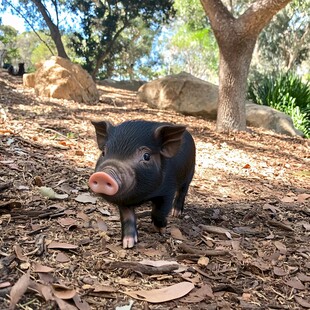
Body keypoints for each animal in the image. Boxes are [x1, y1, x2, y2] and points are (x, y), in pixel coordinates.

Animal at [87, 120, 195, 248]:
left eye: (146, 156)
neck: (142, 196)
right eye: (103, 152)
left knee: (182, 191)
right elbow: (127, 217)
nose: (102, 175)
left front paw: (161, 230)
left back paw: (176, 214)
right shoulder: (124, 199)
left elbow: (160, 211)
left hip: (190, 173)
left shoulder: (168, 190)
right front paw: (128, 244)